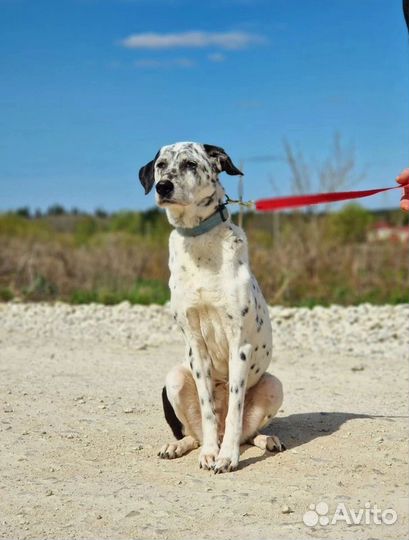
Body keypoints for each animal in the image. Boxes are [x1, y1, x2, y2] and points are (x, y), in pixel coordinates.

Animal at [139, 142, 282, 472]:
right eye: (161, 165)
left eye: (190, 164)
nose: (163, 186)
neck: (200, 242)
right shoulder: (196, 345)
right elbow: (207, 411)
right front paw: (210, 453)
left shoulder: (239, 345)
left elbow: (234, 412)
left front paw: (226, 456)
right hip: (175, 378)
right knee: (194, 432)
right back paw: (181, 446)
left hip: (273, 384)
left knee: (246, 433)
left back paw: (264, 440)